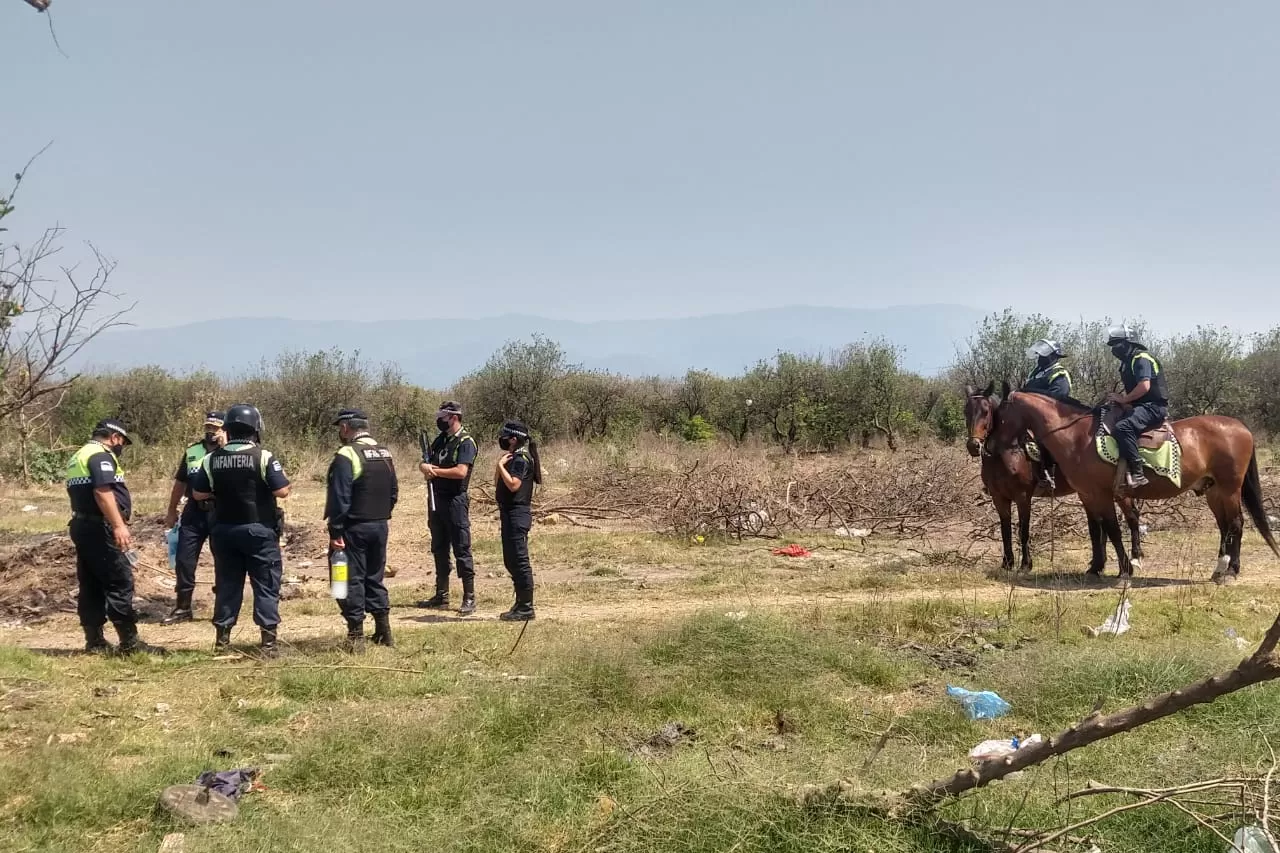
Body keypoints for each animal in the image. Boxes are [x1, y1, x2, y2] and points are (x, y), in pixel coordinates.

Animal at [962, 379, 1141, 571]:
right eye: (966, 411)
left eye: (986, 411)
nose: (973, 446)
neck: (1005, 455)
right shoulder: (999, 498)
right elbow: (1005, 531)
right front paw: (1007, 563)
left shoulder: (1022, 497)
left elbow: (1023, 530)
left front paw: (1026, 564)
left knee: (1131, 516)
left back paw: (1135, 557)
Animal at [998, 386, 1280, 578]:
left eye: (1000, 415)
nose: (994, 446)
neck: (1077, 437)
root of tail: (1241, 427)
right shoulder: (1088, 495)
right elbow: (1099, 529)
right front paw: (1099, 567)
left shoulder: (1101, 494)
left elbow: (1111, 529)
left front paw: (1125, 568)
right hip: (1214, 491)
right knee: (1225, 526)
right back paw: (1221, 567)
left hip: (1230, 488)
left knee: (1237, 524)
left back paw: (1231, 570)